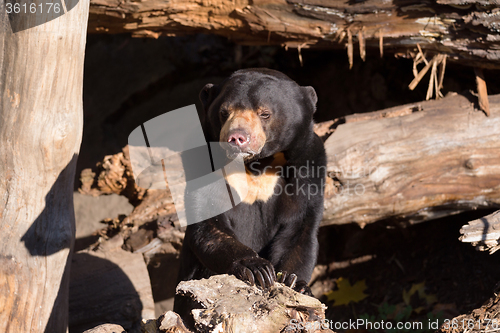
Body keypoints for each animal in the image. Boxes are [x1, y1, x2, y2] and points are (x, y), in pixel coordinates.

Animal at [174, 67, 326, 316]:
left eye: (265, 113)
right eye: (224, 112)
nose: (236, 137)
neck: (258, 165)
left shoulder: (309, 164)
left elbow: (298, 229)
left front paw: (296, 283)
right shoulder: (202, 162)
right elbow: (209, 224)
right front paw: (258, 269)